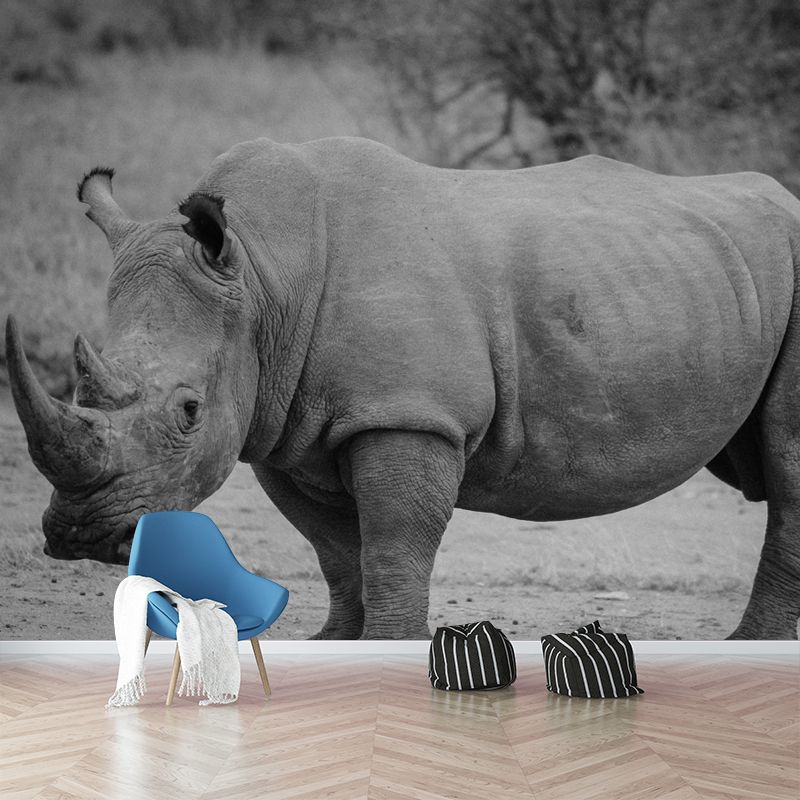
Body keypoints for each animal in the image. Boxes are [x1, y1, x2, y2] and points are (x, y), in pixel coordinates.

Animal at [6, 136, 800, 639]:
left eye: (188, 412)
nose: (81, 535)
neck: (263, 276)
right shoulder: (285, 426)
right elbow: (335, 550)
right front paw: (334, 645)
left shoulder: (408, 415)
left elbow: (393, 542)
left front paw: (391, 643)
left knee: (786, 466)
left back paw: (748, 648)